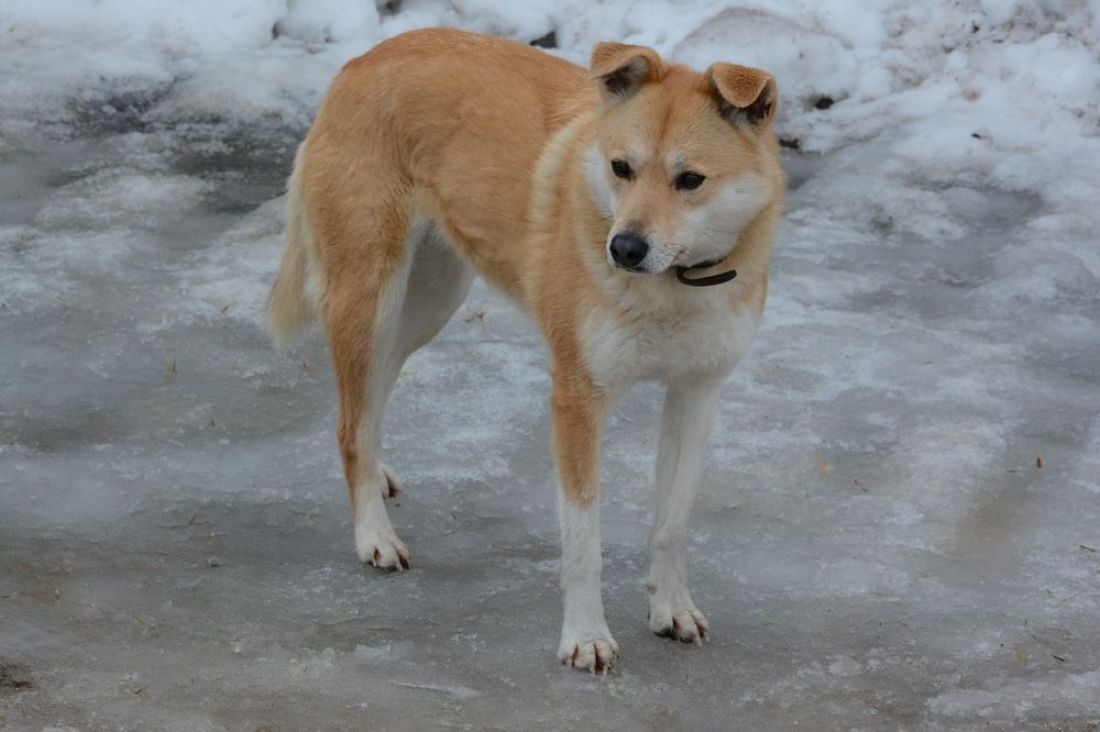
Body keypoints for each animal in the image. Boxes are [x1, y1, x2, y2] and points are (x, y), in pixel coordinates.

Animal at [266, 28, 783, 669]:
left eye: (691, 180)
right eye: (621, 168)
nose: (624, 249)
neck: (675, 284)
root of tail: (362, 60)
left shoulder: (697, 394)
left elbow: (672, 523)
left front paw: (672, 608)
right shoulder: (577, 401)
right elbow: (584, 542)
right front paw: (586, 637)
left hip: (429, 304)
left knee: (365, 405)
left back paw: (377, 476)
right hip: (369, 296)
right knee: (349, 422)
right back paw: (374, 535)